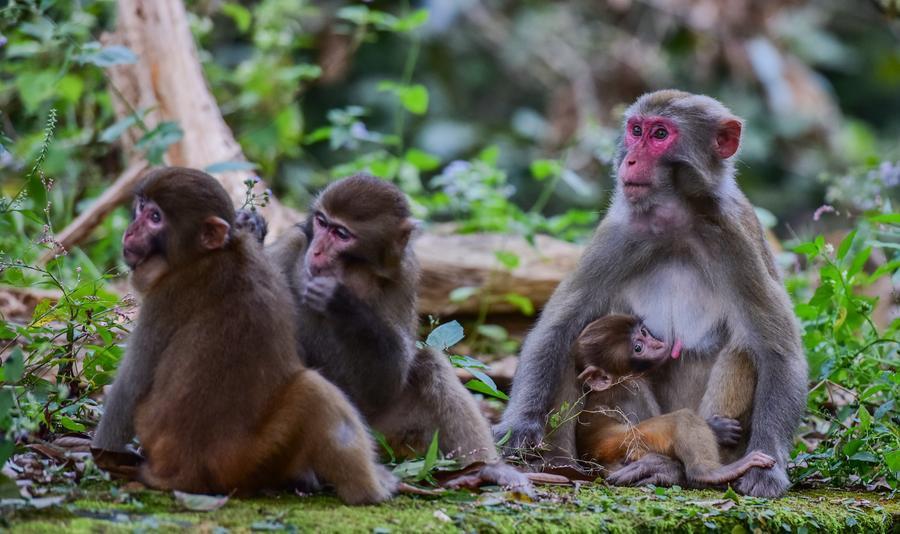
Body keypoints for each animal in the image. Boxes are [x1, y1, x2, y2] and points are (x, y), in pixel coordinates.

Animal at [91, 167, 396, 503]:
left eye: (155, 217)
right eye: (141, 207)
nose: (130, 232)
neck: (212, 254)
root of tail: (182, 474)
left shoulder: (165, 297)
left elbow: (129, 390)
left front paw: (101, 453)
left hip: (239, 462)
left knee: (313, 390)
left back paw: (368, 492)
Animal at [242, 174, 530, 492]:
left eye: (341, 234)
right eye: (321, 222)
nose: (316, 250)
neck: (356, 271)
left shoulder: (405, 273)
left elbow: (388, 383)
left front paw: (342, 302)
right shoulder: (295, 242)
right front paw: (251, 228)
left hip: (388, 436)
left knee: (430, 364)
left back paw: (487, 469)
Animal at [571, 315, 774, 487]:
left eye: (644, 332)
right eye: (638, 348)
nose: (658, 345)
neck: (616, 382)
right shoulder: (632, 390)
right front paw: (717, 429)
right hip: (630, 442)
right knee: (680, 419)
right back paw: (708, 473)